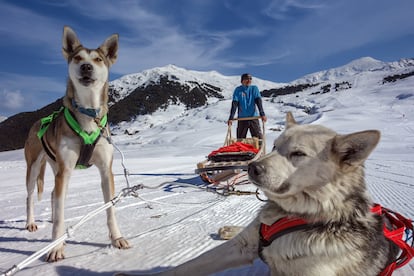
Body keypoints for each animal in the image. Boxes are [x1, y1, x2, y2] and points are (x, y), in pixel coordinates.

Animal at [24, 25, 129, 260]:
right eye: (77, 58)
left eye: (98, 59)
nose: (86, 66)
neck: (89, 114)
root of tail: (37, 121)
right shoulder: (65, 170)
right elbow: (60, 217)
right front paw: (55, 247)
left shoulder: (105, 170)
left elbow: (110, 209)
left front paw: (117, 238)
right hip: (35, 168)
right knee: (31, 196)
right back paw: (31, 223)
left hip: (56, 167)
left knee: (54, 195)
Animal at [117, 111, 414, 274]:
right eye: (275, 146)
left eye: (297, 154)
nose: (251, 167)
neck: (295, 217)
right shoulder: (240, 248)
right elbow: (187, 267)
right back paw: (229, 229)